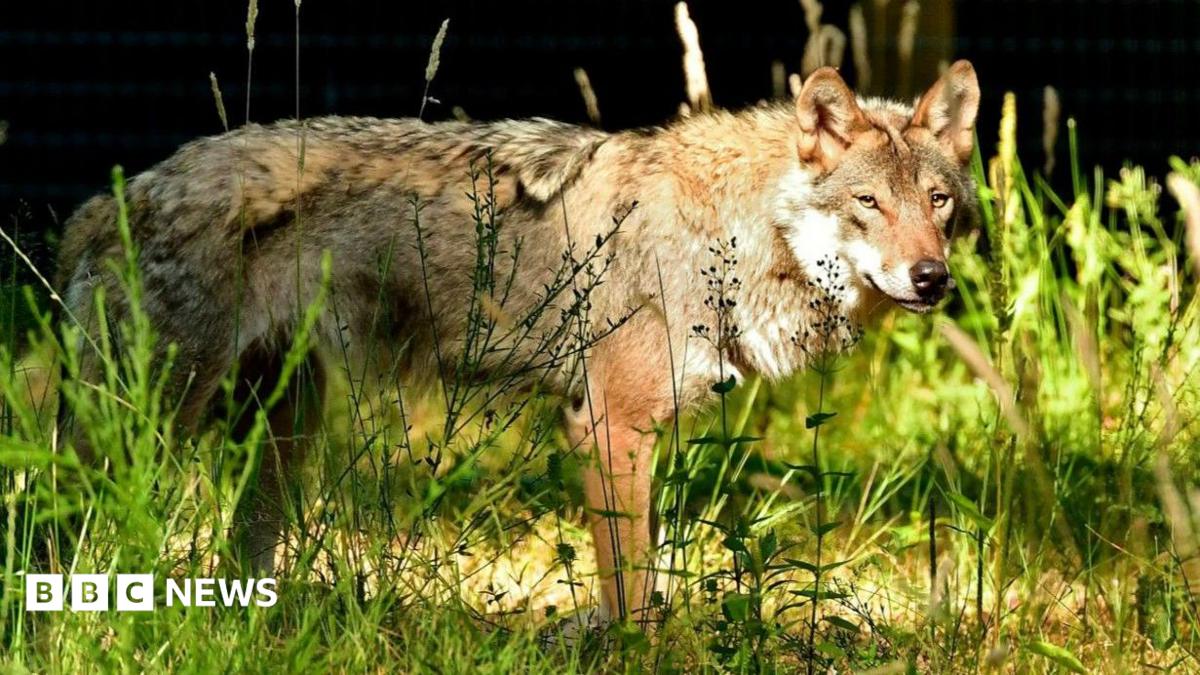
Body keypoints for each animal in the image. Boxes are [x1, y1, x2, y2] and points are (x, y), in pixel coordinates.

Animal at [56, 61, 979, 625]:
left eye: (936, 202)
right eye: (868, 203)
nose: (931, 278)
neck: (731, 229)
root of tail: (109, 200)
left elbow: (641, 585)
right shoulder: (608, 427)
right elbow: (633, 598)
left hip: (279, 439)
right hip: (145, 428)